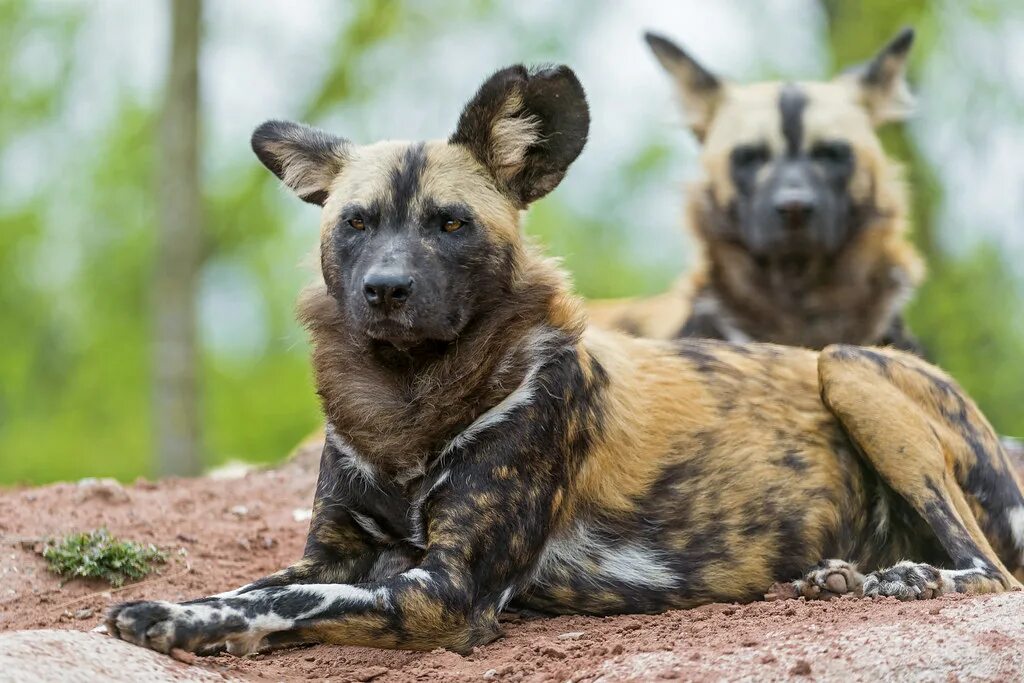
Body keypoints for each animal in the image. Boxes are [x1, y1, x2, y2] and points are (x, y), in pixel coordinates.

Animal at [105, 63, 1024, 655]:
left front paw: (174, 622)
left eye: (449, 223)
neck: (407, 400)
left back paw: (911, 578)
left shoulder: (444, 592)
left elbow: (293, 600)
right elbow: (254, 586)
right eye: (356, 223)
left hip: (847, 366)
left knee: (989, 570)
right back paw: (842, 576)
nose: (387, 291)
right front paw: (184, 609)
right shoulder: (334, 551)